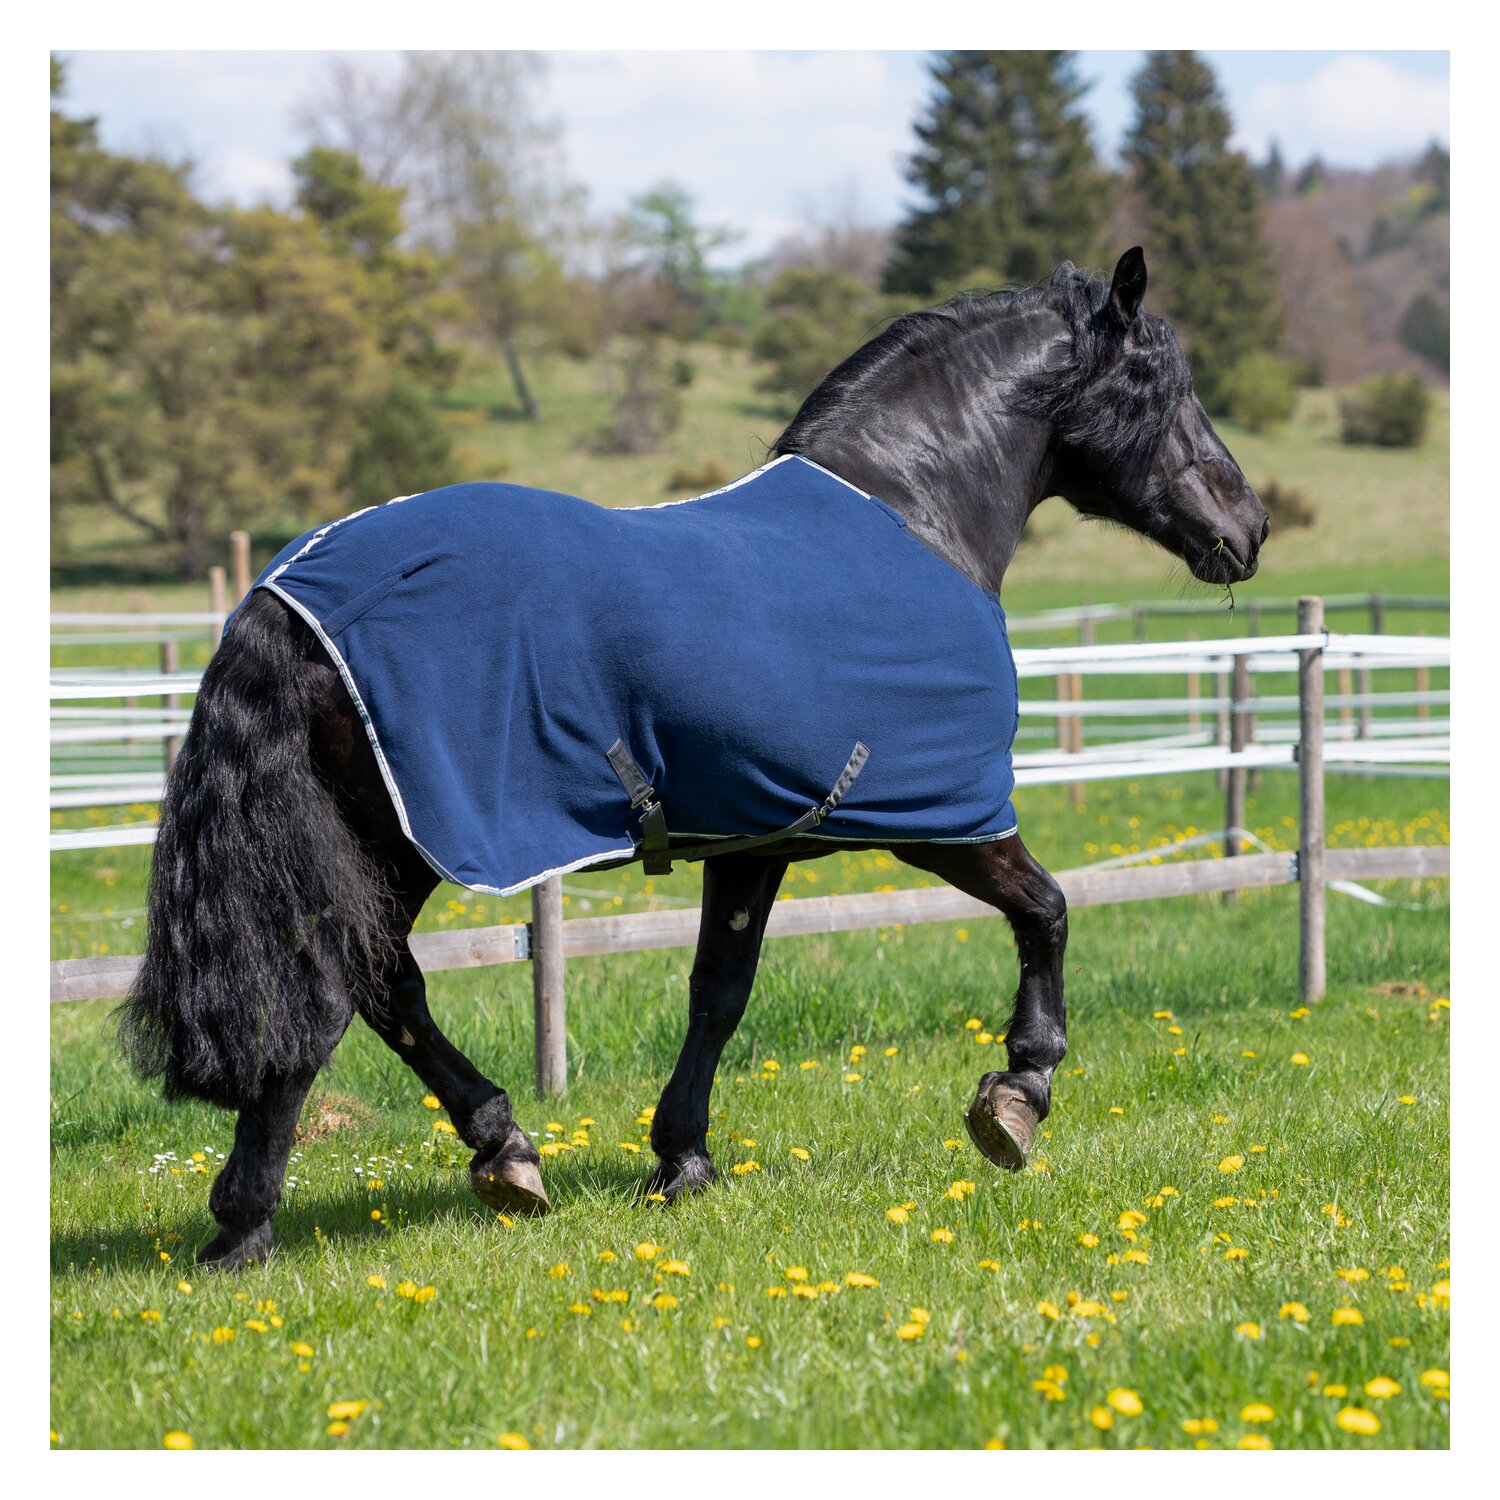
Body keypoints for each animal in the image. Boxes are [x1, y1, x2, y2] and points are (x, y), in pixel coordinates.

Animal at [118, 248, 1269, 1268]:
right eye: (1169, 386)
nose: (1249, 525)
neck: (913, 513)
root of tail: (291, 590)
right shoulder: (944, 822)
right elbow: (1049, 912)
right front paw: (1017, 1098)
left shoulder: (756, 838)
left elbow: (719, 988)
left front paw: (682, 1158)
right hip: (402, 840)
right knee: (344, 992)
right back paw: (259, 1221)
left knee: (379, 989)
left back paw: (486, 1155)